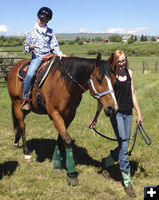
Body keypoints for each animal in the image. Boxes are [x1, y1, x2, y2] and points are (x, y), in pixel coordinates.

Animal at [6, 54, 117, 185]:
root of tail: (14, 68)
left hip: (27, 108)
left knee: (19, 124)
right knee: (22, 126)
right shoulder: (55, 114)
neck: (65, 84)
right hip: (16, 104)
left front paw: (57, 164)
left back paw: (15, 142)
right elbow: (67, 140)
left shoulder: (69, 115)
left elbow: (61, 138)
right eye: (99, 80)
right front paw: (71, 174)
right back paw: (26, 153)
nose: (112, 108)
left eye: (114, 80)